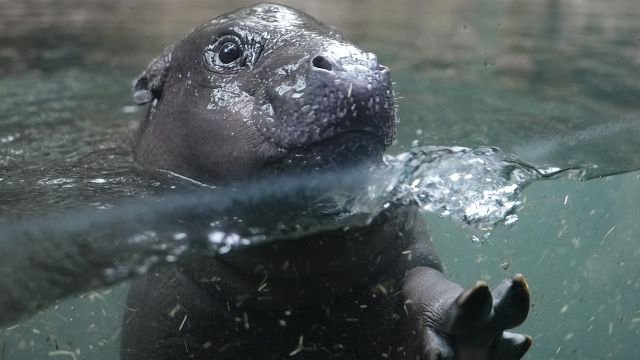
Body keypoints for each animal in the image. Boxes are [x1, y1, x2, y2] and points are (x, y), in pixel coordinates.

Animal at [122, 3, 532, 360]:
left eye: (340, 34)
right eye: (228, 51)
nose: (353, 63)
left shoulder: (410, 250)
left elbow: (423, 281)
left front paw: (482, 326)